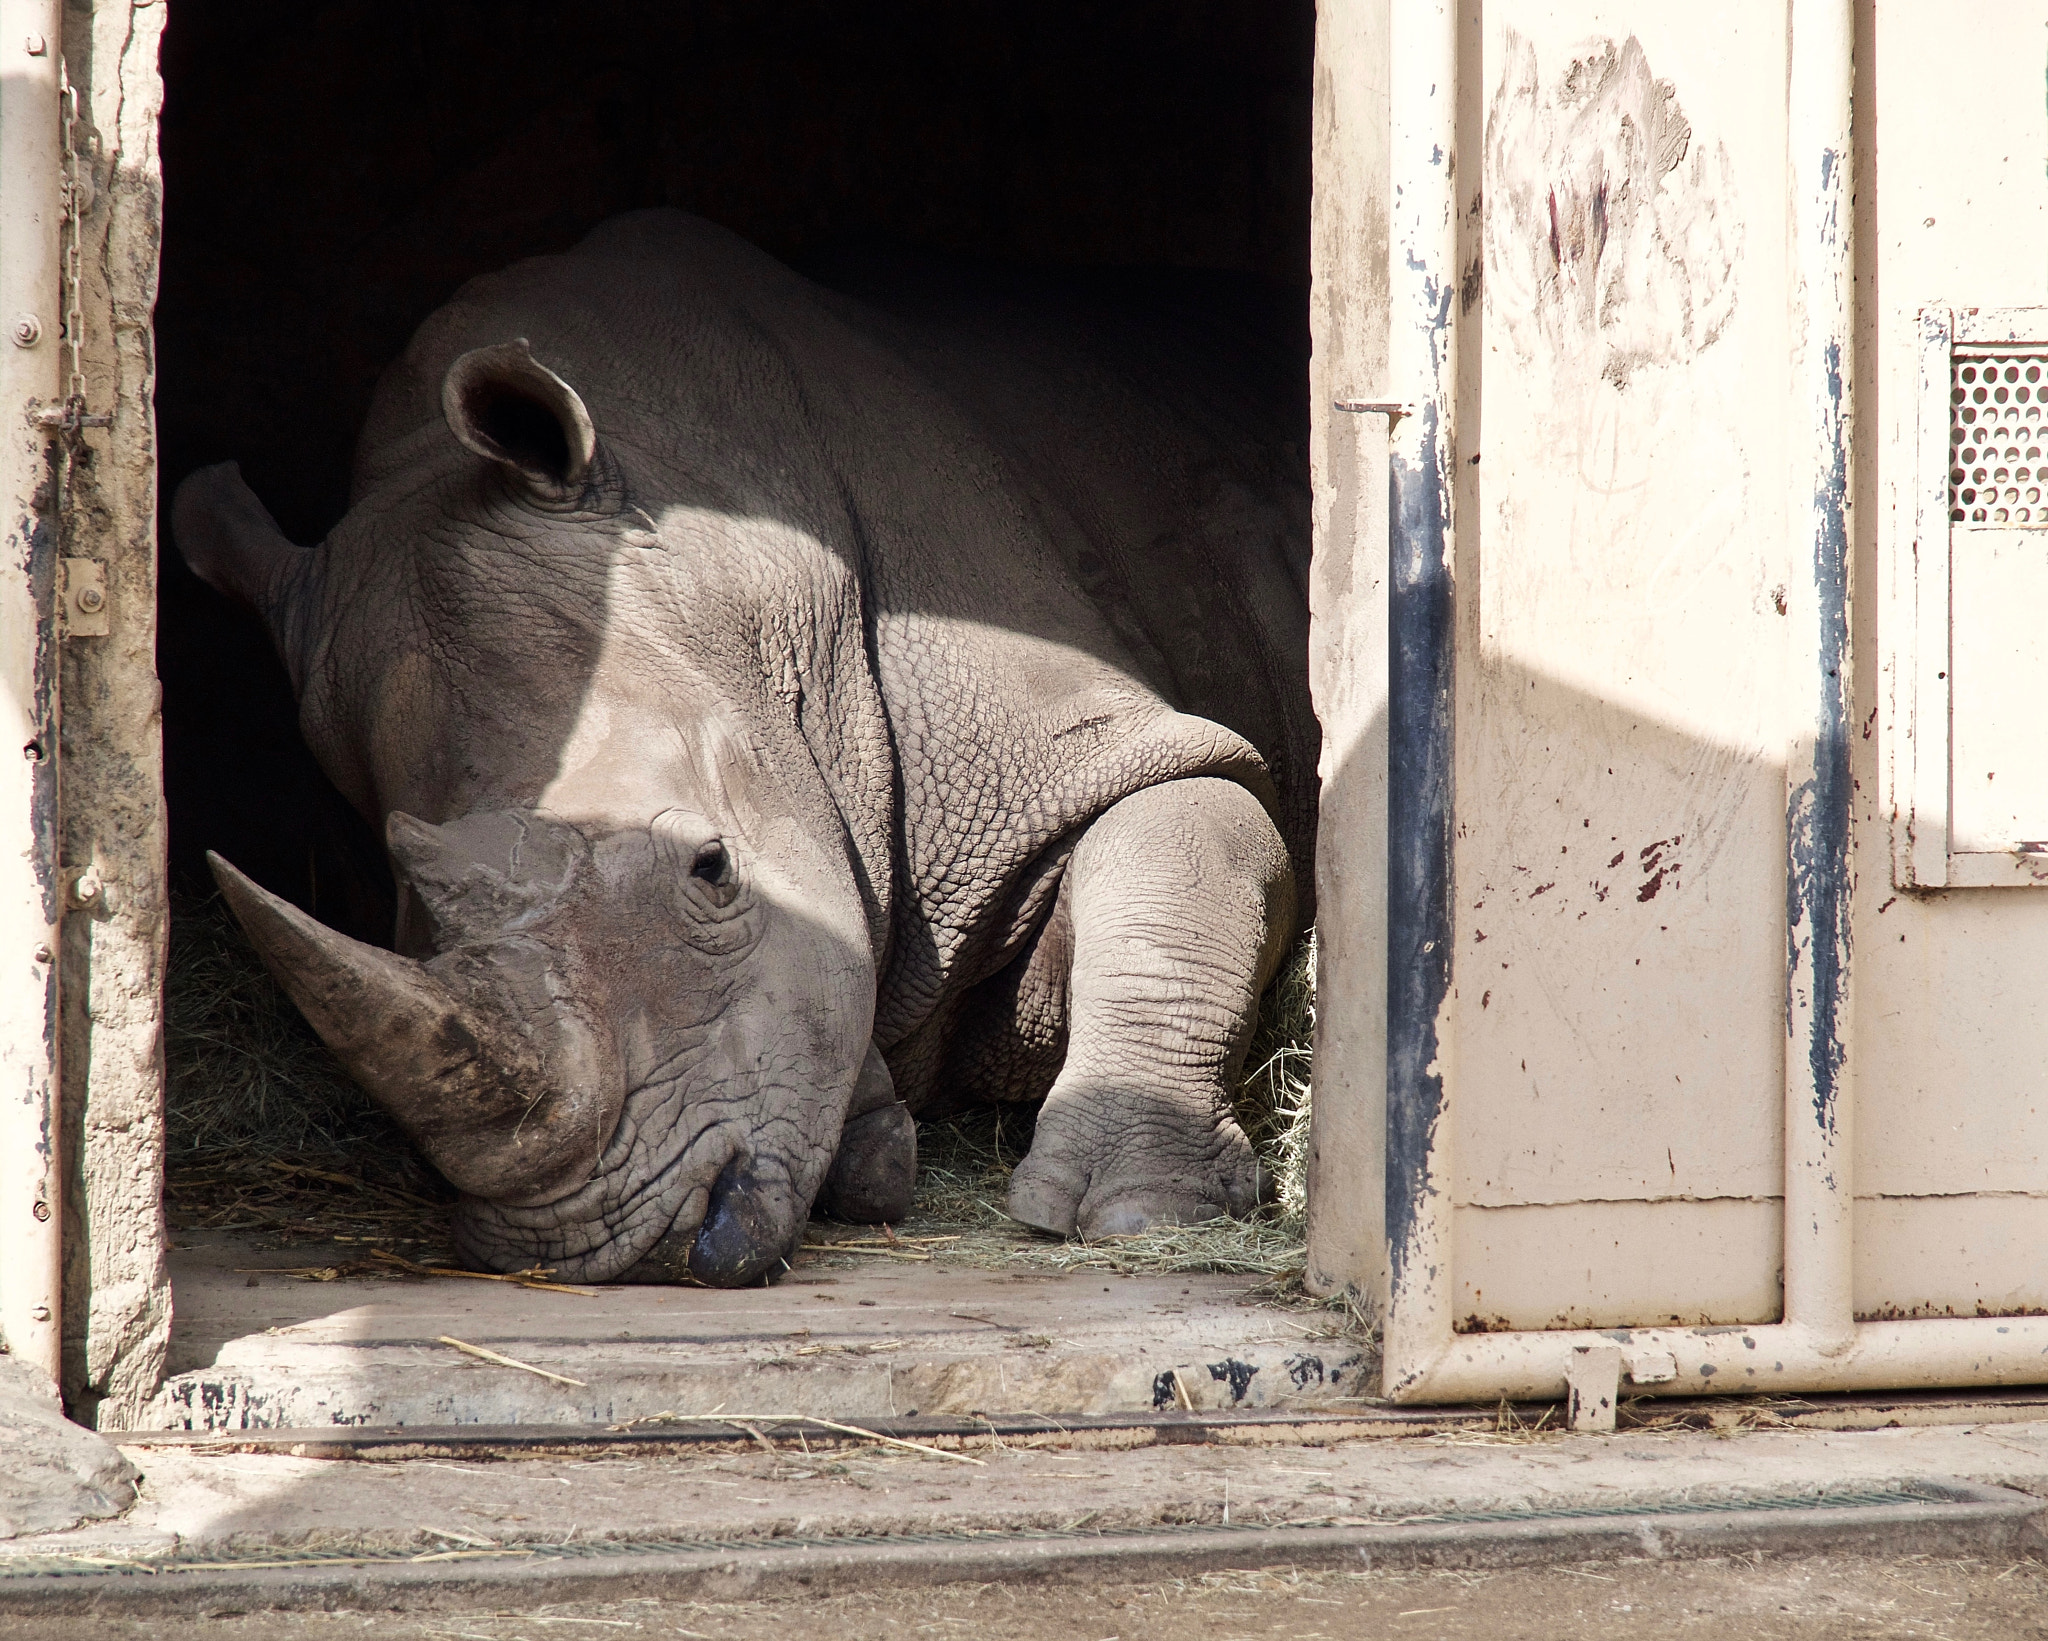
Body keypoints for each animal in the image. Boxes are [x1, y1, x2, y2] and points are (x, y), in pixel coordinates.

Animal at [173, 210, 1314, 1287]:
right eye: (408, 913)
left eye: (713, 869)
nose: (616, 1244)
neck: (737, 577)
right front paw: (870, 1139)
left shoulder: (1083, 738)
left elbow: (1181, 847)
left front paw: (1133, 1211)